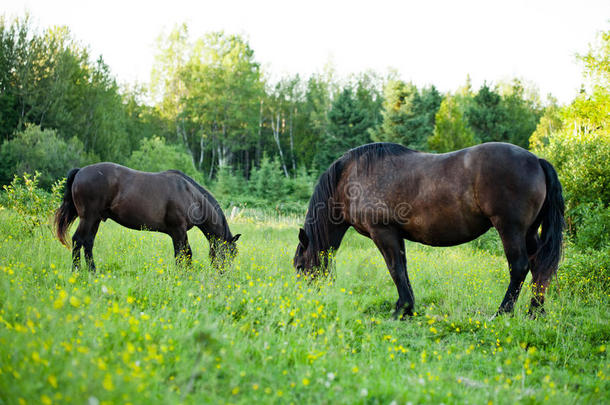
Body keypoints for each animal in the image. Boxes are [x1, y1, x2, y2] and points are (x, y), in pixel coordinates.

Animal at [54, 162, 240, 272]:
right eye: (229, 254)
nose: (225, 275)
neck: (190, 196)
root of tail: (80, 171)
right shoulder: (178, 231)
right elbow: (183, 254)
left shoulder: (179, 233)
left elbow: (184, 254)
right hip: (88, 218)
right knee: (78, 240)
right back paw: (77, 271)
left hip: (96, 219)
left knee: (88, 243)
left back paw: (93, 271)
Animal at [292, 144, 564, 318]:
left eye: (299, 266)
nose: (305, 302)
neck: (350, 178)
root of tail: (537, 161)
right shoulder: (396, 235)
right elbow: (402, 269)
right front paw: (408, 308)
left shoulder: (383, 233)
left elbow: (395, 269)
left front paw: (401, 310)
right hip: (529, 232)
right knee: (539, 267)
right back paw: (535, 313)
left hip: (510, 229)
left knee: (519, 267)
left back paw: (502, 313)